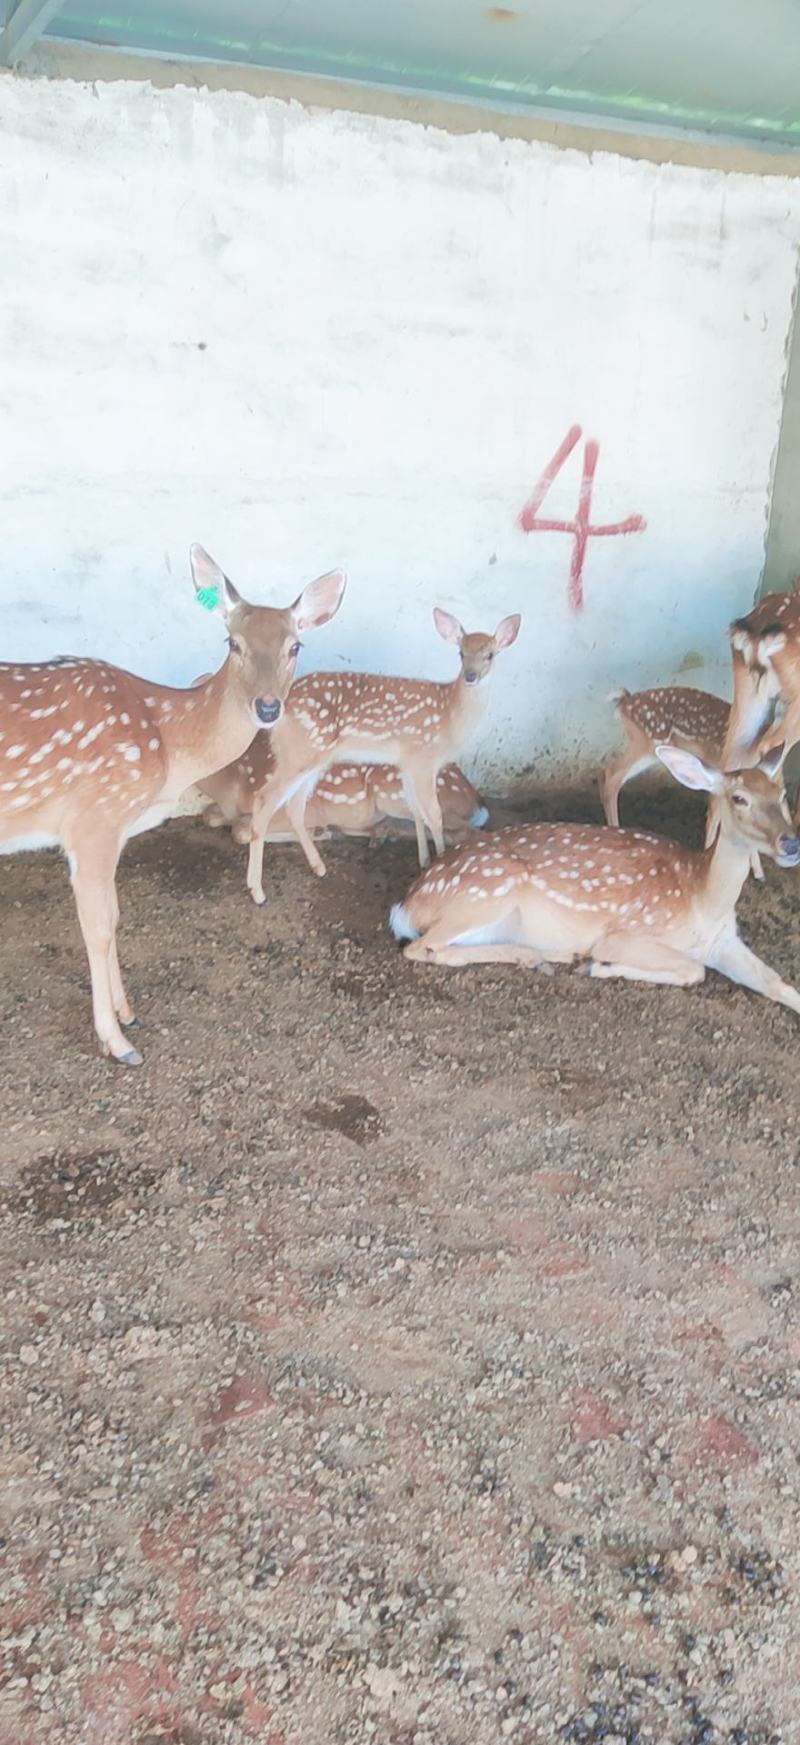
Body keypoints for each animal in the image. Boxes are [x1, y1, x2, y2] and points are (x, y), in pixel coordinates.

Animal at [0, 546, 345, 1065]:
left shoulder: (115, 829)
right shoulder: (93, 819)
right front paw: (118, 1043)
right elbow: (96, 928)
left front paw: (128, 1013)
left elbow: (115, 916)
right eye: (232, 643)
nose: (267, 707)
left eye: (295, 646)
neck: (167, 744)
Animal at [199, 755, 489, 849]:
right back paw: (379, 833)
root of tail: (473, 795)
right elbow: (210, 815)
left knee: (464, 831)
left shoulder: (304, 807)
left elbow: (240, 830)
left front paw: (318, 833)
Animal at [231, 606, 521, 905]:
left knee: (295, 806)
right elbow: (434, 814)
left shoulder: (407, 764)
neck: (450, 716)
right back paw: (257, 890)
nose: (471, 676)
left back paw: (319, 866)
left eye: (490, 654)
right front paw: (439, 861)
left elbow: (417, 812)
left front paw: (424, 861)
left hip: (311, 758)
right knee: (264, 802)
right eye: (461, 653)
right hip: (299, 754)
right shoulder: (423, 759)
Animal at [390, 742, 800, 1018]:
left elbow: (778, 982)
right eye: (739, 798)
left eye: (781, 794)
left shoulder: (724, 941)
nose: (790, 842)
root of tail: (408, 903)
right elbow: (692, 970)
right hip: (487, 891)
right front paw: (600, 967)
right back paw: (544, 956)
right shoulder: (624, 934)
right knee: (421, 948)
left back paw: (547, 955)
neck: (701, 898)